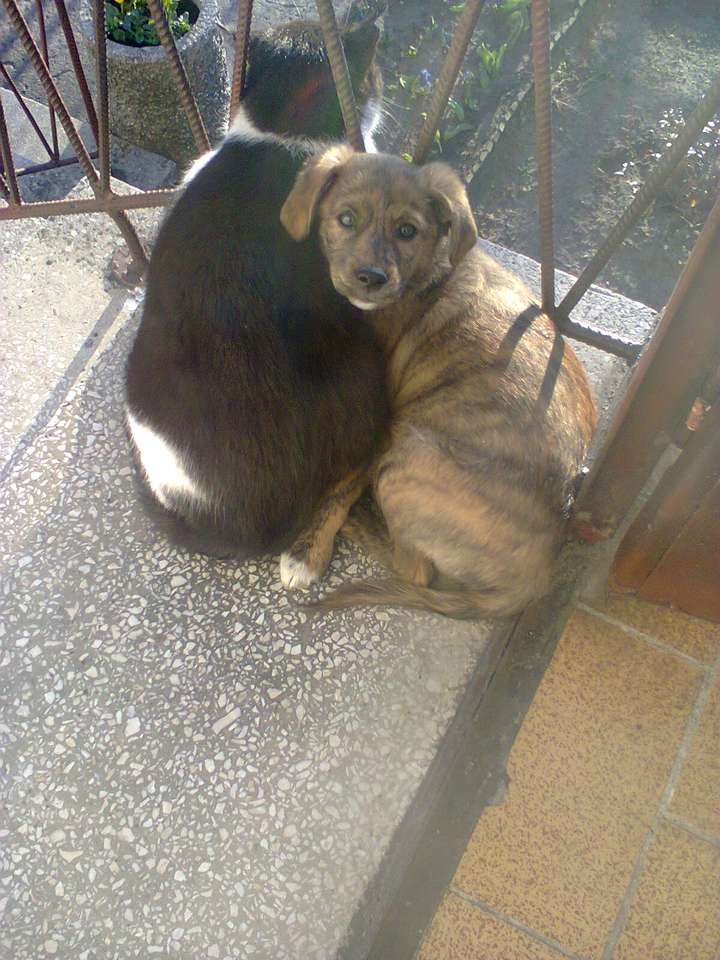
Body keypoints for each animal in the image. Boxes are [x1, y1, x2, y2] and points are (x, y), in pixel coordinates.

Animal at [276, 146, 596, 620]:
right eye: (346, 219)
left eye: (408, 231)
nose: (371, 277)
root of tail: (532, 584)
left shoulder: (377, 423)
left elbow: (341, 487)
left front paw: (307, 552)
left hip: (407, 455)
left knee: (416, 571)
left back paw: (363, 524)